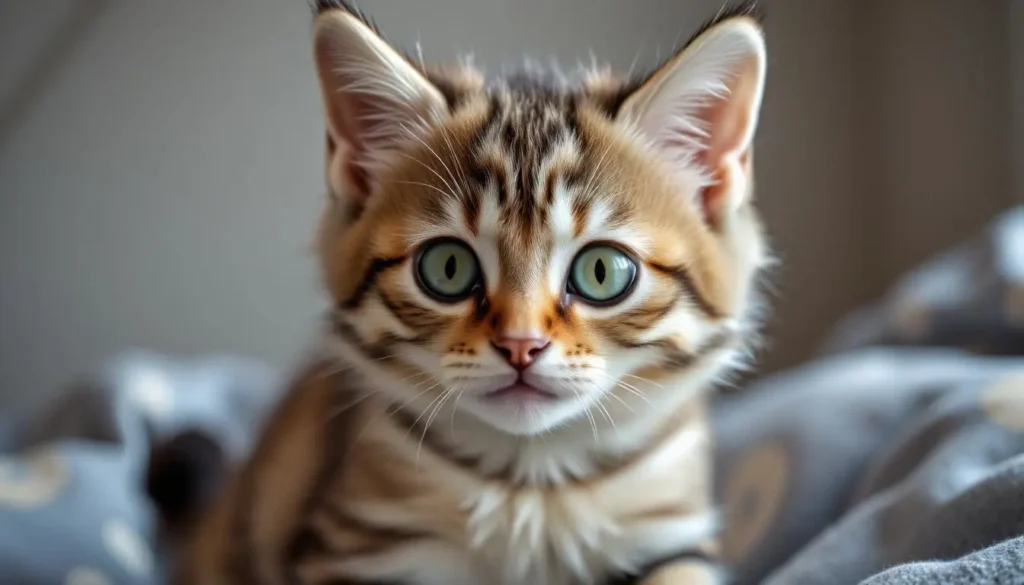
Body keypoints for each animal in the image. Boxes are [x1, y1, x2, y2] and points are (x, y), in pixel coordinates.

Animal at [178, 1, 770, 585]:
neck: (533, 484)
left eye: (601, 271)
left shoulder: (673, 536)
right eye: (448, 267)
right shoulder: (351, 546)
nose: (520, 345)